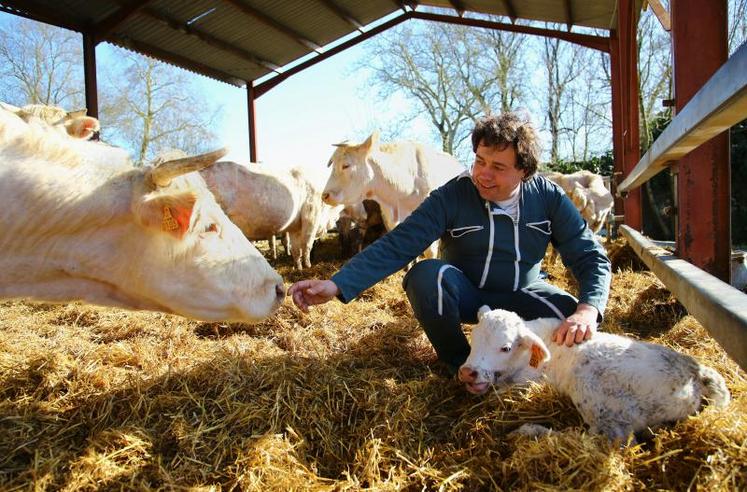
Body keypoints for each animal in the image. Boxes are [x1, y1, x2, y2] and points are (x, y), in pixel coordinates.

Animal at [199, 161, 328, 270]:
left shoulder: (295, 226)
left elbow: (296, 249)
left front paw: (299, 268)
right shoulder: (311, 216)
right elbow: (307, 244)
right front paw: (308, 266)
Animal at [458, 308, 732, 442]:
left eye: (505, 347)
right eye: (473, 339)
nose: (467, 372)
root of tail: (695, 371)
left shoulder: (529, 381)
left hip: (596, 396)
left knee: (610, 439)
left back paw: (531, 431)